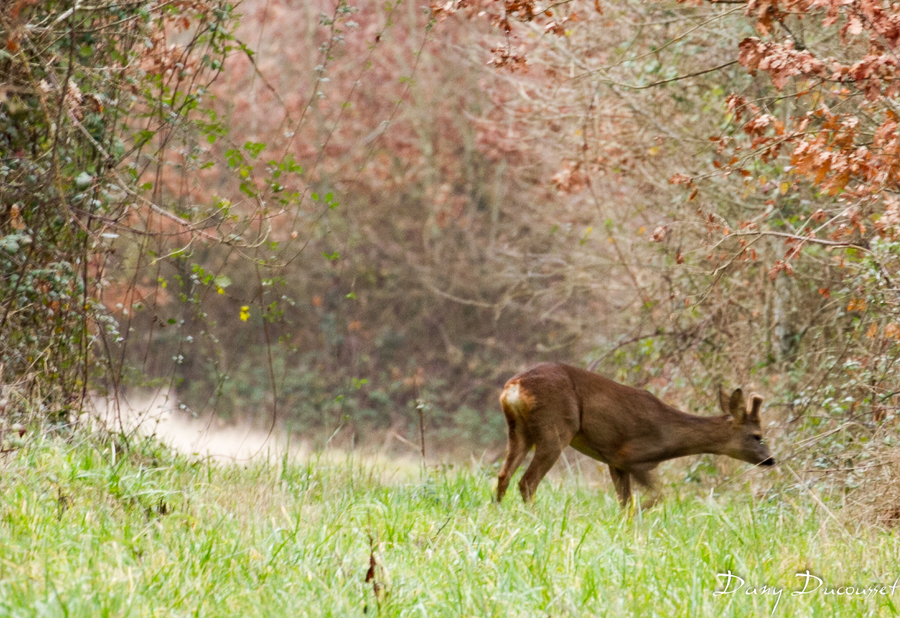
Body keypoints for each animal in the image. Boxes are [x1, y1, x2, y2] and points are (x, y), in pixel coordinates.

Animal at [492, 360, 772, 506]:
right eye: (757, 435)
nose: (771, 460)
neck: (669, 436)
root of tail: (514, 387)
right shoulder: (631, 457)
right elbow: (657, 496)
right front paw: (640, 516)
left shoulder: (614, 462)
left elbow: (625, 502)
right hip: (556, 428)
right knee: (527, 481)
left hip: (519, 430)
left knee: (503, 475)